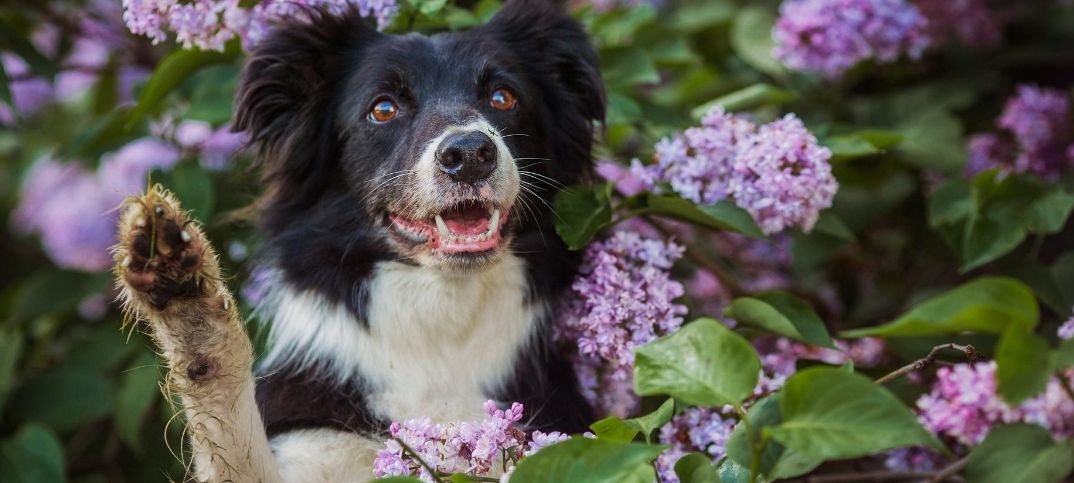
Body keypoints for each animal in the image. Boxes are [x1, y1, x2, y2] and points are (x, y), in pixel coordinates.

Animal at [113, 0, 610, 478]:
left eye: (504, 97)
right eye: (383, 108)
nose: (470, 154)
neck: (442, 334)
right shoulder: (313, 438)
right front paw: (187, 304)